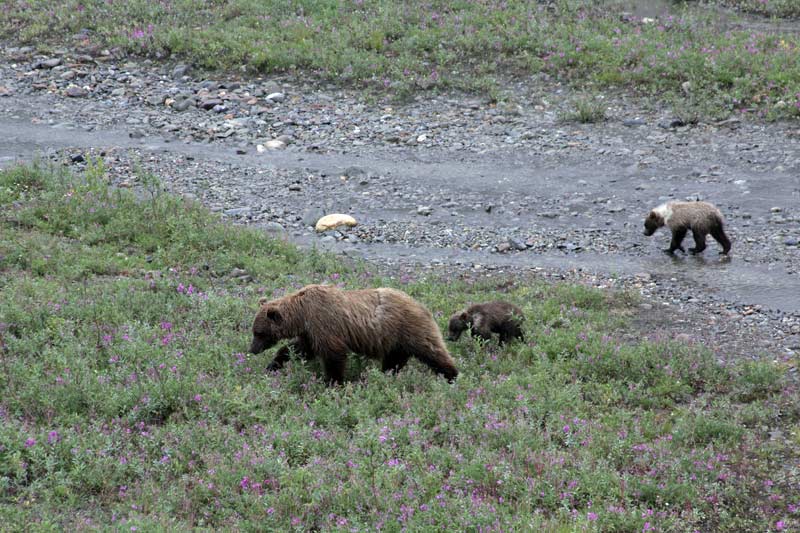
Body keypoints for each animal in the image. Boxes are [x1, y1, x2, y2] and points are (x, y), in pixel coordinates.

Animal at [249, 284, 458, 384]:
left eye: (259, 333)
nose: (252, 350)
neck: (302, 315)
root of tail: (421, 305)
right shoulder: (311, 332)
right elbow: (300, 349)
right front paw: (274, 364)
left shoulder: (325, 323)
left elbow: (333, 355)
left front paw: (333, 382)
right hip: (395, 340)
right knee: (394, 361)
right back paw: (386, 375)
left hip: (408, 328)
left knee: (432, 351)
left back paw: (452, 376)